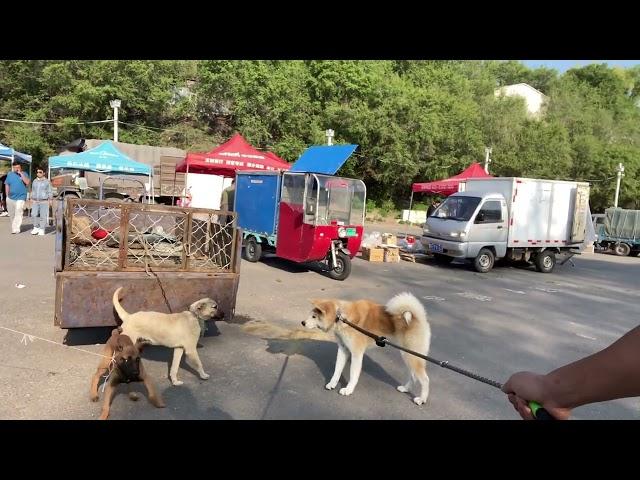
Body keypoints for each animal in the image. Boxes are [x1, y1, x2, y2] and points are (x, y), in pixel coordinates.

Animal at [302, 292, 432, 404]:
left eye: (314, 316)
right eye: (310, 314)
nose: (302, 322)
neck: (341, 317)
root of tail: (418, 317)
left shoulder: (356, 354)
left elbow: (353, 375)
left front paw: (348, 389)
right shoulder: (343, 350)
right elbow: (337, 370)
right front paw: (332, 383)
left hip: (411, 356)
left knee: (425, 379)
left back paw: (422, 399)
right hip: (407, 355)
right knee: (414, 375)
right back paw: (405, 388)